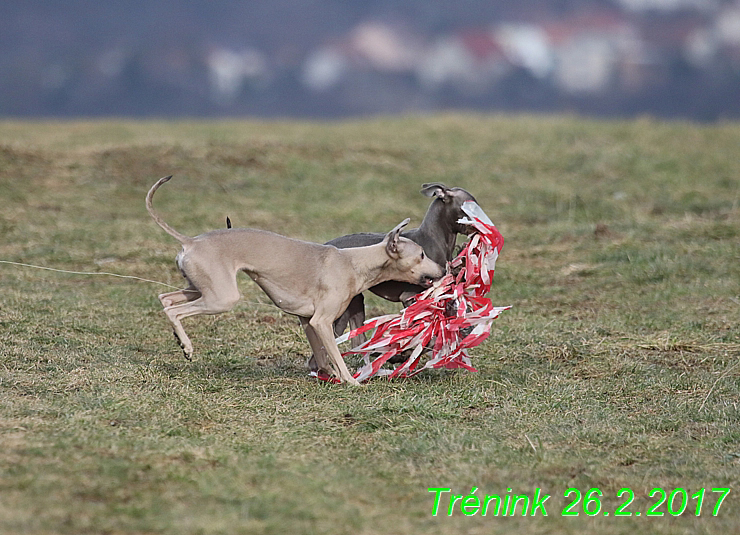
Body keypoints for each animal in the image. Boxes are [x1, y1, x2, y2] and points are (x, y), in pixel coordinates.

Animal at [147, 178, 442, 388]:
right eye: (421, 254)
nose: (443, 269)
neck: (354, 263)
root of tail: (190, 241)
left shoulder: (308, 321)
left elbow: (322, 356)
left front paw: (327, 375)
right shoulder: (321, 321)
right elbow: (337, 356)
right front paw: (351, 381)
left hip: (199, 287)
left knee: (165, 299)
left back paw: (178, 337)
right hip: (222, 297)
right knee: (174, 310)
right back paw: (187, 347)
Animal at [304, 182, 476, 370]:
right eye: (470, 207)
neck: (433, 240)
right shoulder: (410, 297)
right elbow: (423, 336)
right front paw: (403, 354)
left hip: (353, 303)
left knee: (355, 342)